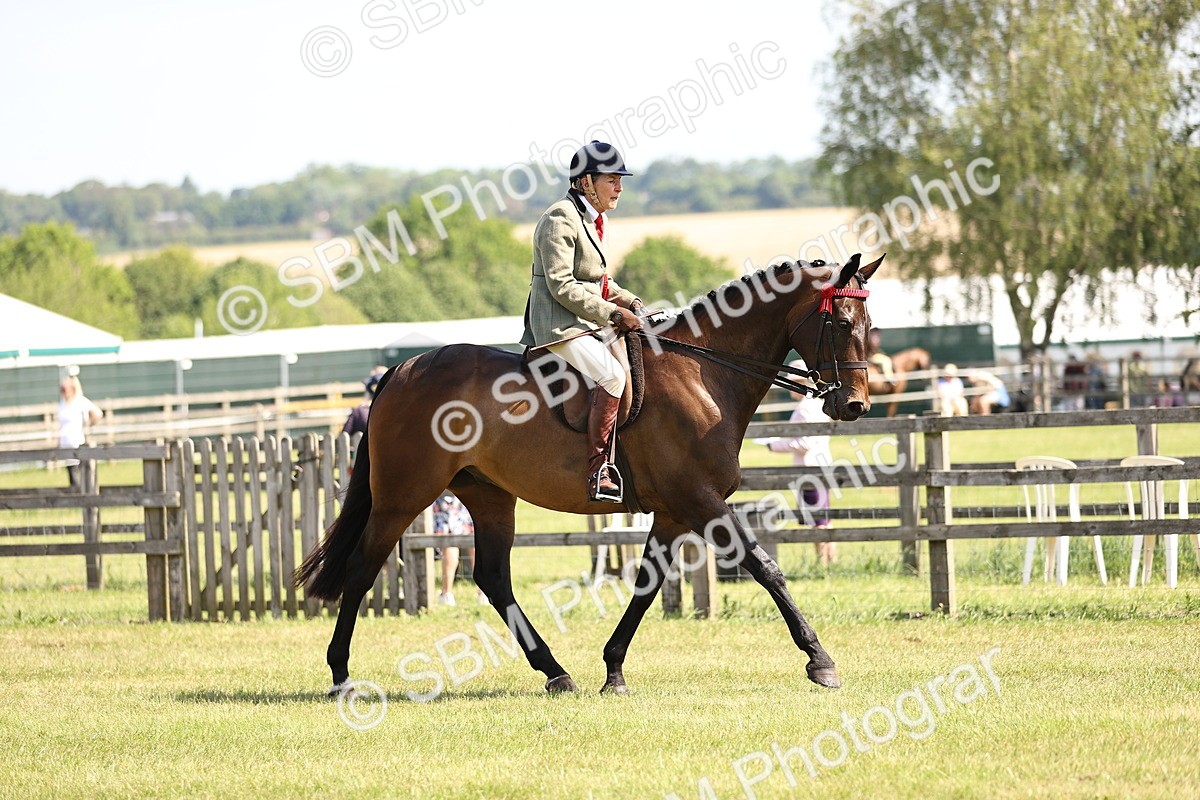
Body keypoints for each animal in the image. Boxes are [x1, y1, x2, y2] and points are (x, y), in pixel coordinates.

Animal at [295, 253, 884, 697]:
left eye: (869, 327)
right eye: (839, 324)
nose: (854, 406)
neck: (704, 371)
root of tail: (401, 369)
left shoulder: (673, 512)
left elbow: (646, 585)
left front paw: (614, 669)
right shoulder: (700, 501)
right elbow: (766, 569)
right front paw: (820, 661)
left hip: (488, 496)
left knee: (493, 577)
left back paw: (555, 673)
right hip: (403, 496)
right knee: (363, 567)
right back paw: (341, 675)